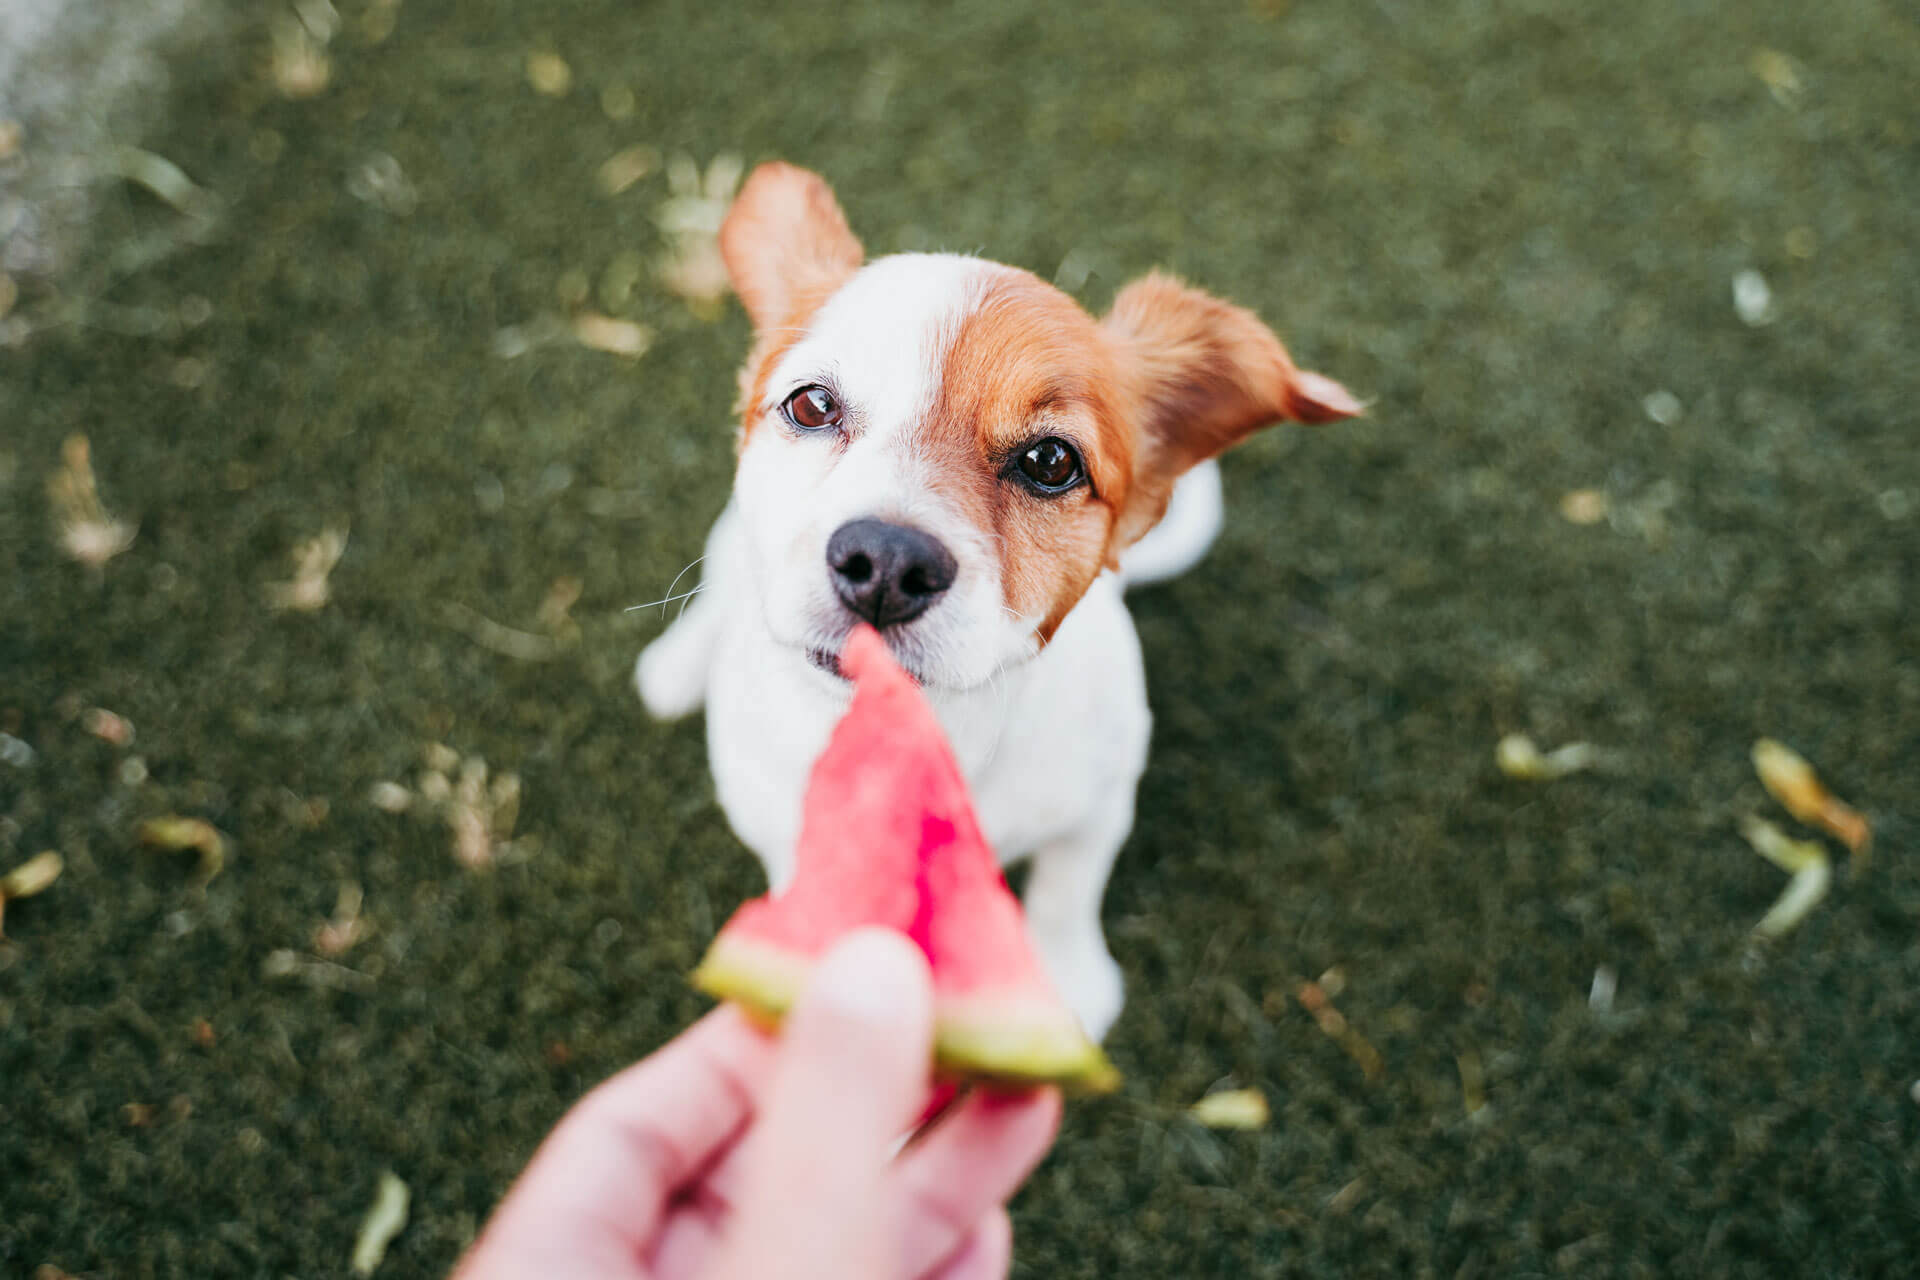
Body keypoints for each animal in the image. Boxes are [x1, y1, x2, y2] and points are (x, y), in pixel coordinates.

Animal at [637, 163, 1359, 1043]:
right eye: (811, 405)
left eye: (1051, 461)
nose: (886, 562)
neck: (942, 732)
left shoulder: (1100, 802)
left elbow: (1067, 890)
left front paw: (1067, 982)